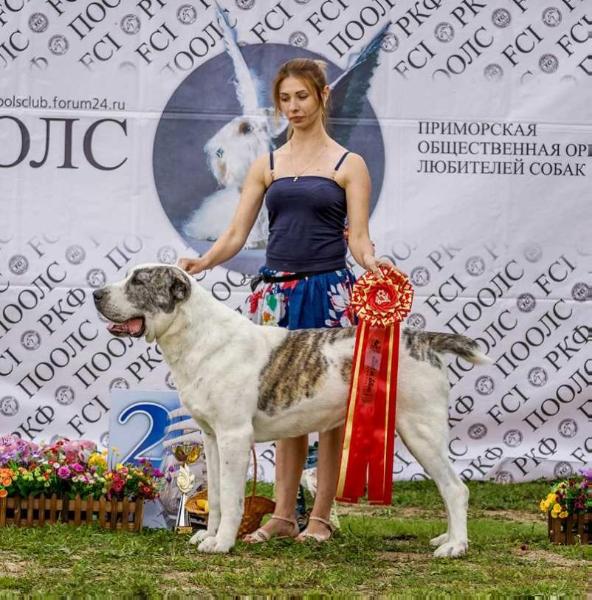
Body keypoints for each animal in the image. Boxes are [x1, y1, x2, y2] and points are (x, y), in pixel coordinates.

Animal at [92, 264, 490, 556]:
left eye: (138, 281)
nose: (96, 293)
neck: (196, 336)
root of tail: (422, 339)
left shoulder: (234, 436)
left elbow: (232, 496)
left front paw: (222, 543)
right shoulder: (212, 436)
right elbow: (217, 495)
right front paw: (207, 535)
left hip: (420, 430)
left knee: (455, 489)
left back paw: (455, 546)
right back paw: (446, 538)